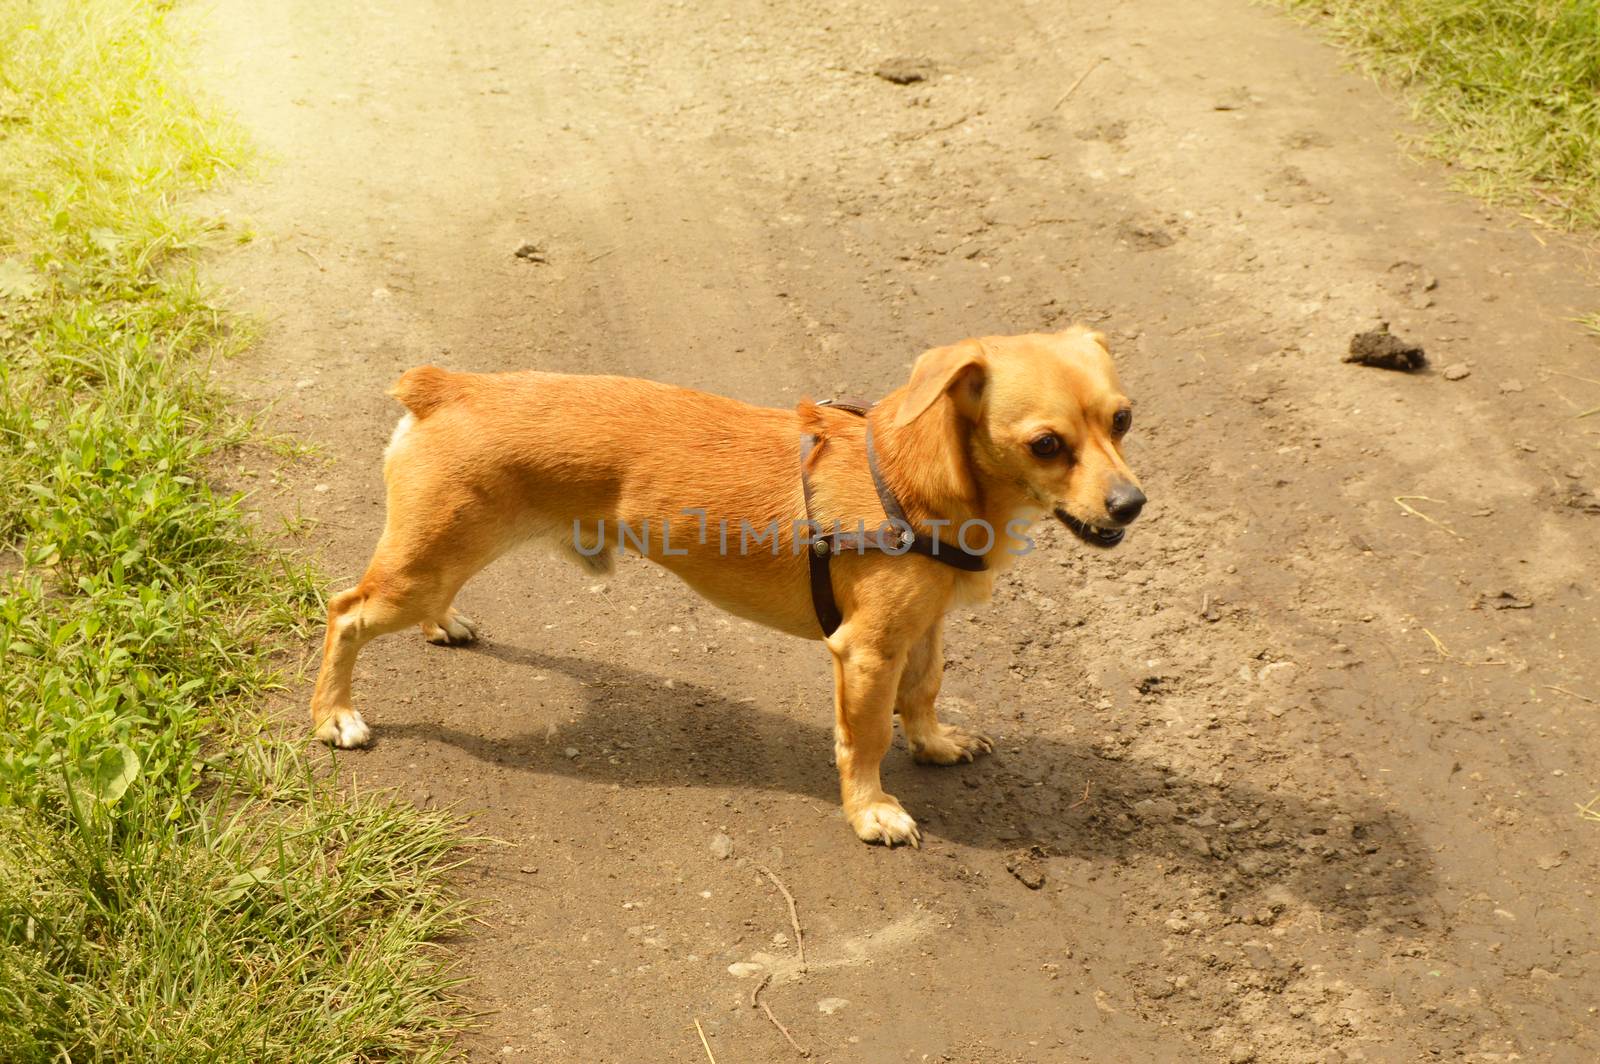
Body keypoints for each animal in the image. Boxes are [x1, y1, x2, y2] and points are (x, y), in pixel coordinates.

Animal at [308, 328, 1139, 844]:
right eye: (1046, 444)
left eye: (1124, 419)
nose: (1133, 504)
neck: (917, 476)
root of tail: (448, 387)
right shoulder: (867, 652)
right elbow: (867, 736)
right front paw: (871, 811)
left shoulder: (924, 628)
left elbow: (926, 689)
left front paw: (935, 743)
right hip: (418, 570)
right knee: (346, 614)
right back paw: (335, 716)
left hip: (441, 558)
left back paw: (443, 625)